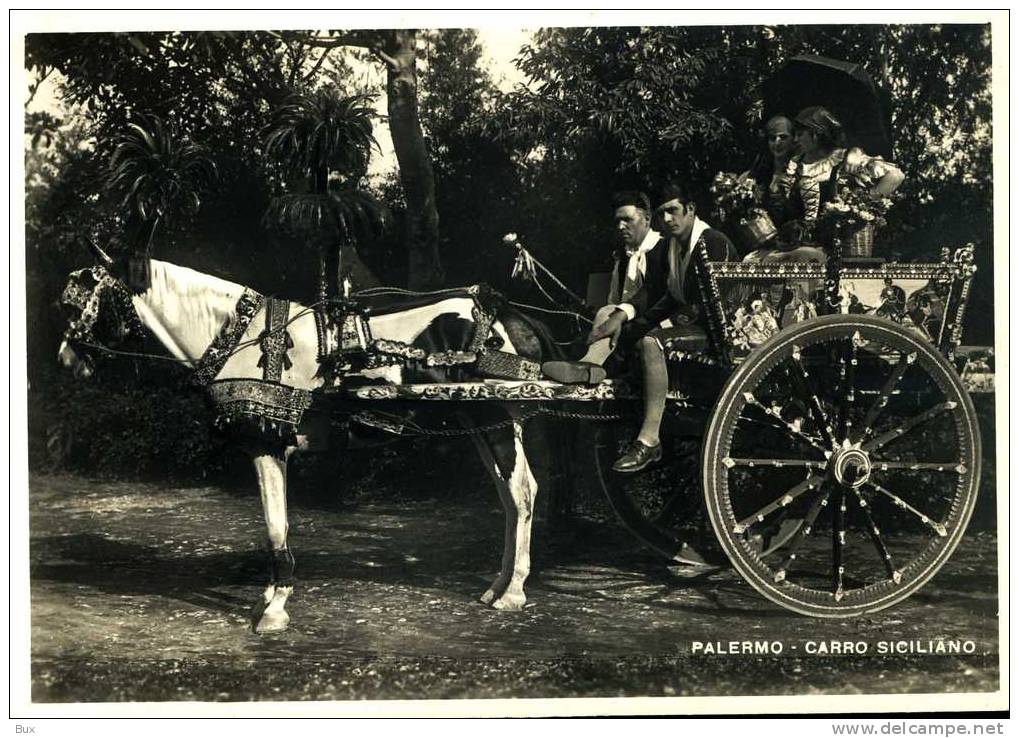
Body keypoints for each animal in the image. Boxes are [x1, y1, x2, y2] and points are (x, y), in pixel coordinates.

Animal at [55, 253, 550, 636]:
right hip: (477, 419)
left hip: (496, 420)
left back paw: (513, 591)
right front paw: (270, 599)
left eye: (84, 303)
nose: (66, 360)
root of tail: (513, 317)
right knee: (510, 497)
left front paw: (273, 609)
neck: (239, 337)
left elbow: (276, 527)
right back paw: (499, 585)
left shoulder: (267, 445)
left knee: (523, 493)